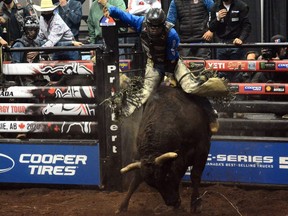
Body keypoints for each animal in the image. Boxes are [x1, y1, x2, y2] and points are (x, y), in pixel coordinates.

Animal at [115, 85, 212, 213]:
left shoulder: (202, 148)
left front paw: (196, 204)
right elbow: (136, 179)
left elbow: (195, 175)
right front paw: (122, 206)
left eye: (167, 176)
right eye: (153, 185)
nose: (171, 202)